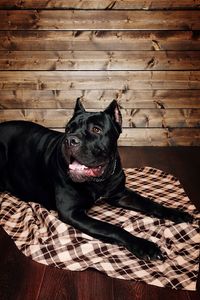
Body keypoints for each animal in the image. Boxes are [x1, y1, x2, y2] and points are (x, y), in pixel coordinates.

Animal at [0, 99, 194, 260]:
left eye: (96, 130)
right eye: (68, 129)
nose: (70, 140)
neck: (99, 181)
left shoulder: (121, 194)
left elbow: (150, 203)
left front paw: (177, 213)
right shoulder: (73, 212)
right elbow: (113, 228)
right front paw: (144, 246)